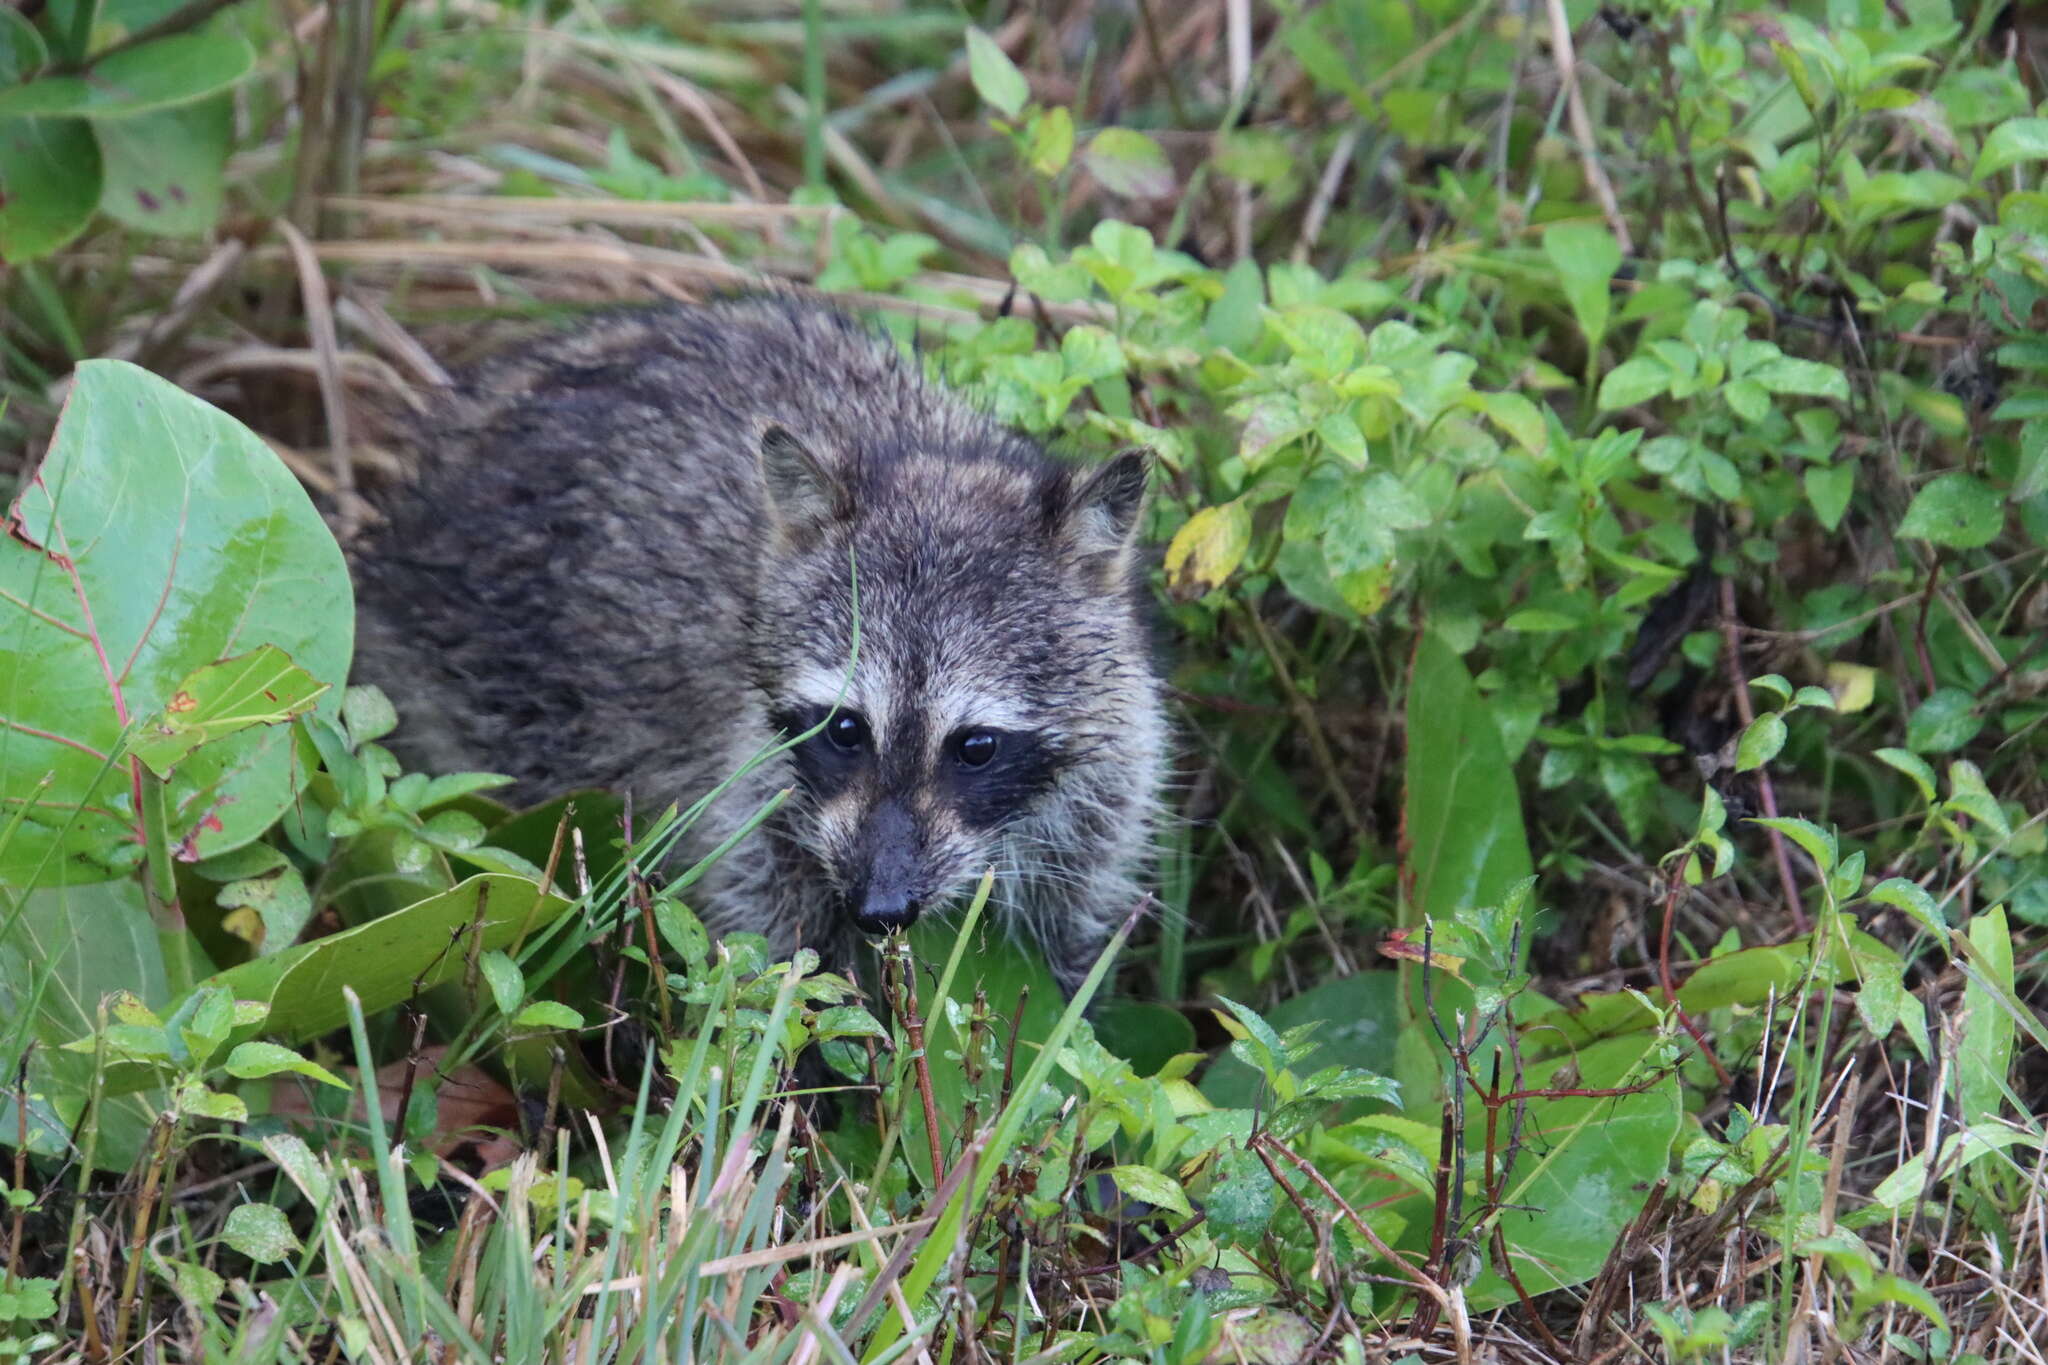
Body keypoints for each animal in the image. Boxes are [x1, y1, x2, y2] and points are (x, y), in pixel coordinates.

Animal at [352, 298, 1171, 998]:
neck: (930, 457)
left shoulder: (1108, 780)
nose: (881, 907)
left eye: (975, 746)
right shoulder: (749, 781)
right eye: (846, 729)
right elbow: (770, 945)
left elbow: (1063, 945)